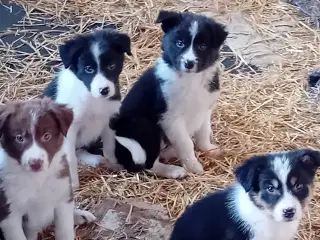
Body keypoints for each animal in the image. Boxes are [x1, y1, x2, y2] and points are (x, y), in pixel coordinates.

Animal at [0, 98, 95, 240]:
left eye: (46, 136)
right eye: (19, 138)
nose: (35, 164)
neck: (38, 179)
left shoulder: (62, 197)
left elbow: (65, 231)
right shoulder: (9, 215)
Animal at [43, 29, 131, 178]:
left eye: (111, 66)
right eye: (88, 69)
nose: (104, 90)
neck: (92, 98)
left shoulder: (110, 118)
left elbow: (109, 147)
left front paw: (114, 164)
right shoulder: (70, 129)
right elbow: (71, 159)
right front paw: (73, 182)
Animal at [119, 10, 228, 175]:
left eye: (202, 46)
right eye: (179, 43)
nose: (189, 63)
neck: (191, 80)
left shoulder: (205, 109)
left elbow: (203, 132)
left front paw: (209, 150)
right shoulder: (171, 118)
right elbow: (186, 144)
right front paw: (193, 166)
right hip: (147, 128)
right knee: (149, 164)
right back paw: (174, 171)